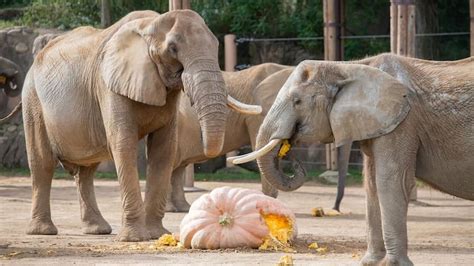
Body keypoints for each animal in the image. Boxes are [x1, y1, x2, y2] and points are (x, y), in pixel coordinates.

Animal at [231, 53, 474, 264]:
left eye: (297, 101)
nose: (290, 152)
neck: (349, 67)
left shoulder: (402, 123)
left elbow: (391, 183)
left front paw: (393, 264)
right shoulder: (380, 124)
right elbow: (372, 186)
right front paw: (370, 263)